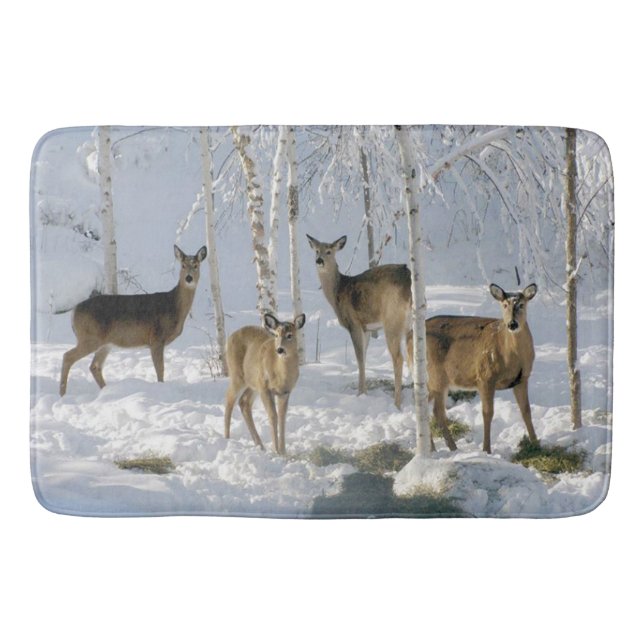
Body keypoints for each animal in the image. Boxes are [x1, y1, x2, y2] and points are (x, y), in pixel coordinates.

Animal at [59, 245, 208, 395]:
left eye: (196, 265)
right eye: (183, 265)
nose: (189, 278)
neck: (174, 306)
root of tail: (74, 311)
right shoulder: (156, 338)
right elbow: (160, 370)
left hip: (105, 343)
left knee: (94, 366)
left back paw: (106, 390)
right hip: (90, 337)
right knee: (67, 356)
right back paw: (62, 394)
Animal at [224, 313, 306, 455]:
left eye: (290, 335)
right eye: (276, 335)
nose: (280, 349)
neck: (281, 376)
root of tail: (230, 337)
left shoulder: (285, 392)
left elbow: (282, 417)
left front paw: (283, 452)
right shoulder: (265, 388)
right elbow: (273, 416)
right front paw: (276, 451)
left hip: (253, 383)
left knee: (244, 402)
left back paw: (260, 445)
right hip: (238, 376)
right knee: (229, 400)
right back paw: (227, 438)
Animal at [306, 234, 411, 409]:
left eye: (329, 251)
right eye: (316, 250)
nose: (319, 260)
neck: (337, 292)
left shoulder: (353, 323)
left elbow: (359, 358)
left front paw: (361, 394)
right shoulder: (366, 328)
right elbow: (364, 356)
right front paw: (363, 392)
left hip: (392, 319)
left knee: (398, 358)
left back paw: (397, 403)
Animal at [407, 283, 539, 454]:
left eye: (522, 305)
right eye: (504, 305)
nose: (512, 324)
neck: (513, 356)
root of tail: (409, 337)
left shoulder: (522, 378)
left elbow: (526, 411)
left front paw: (536, 444)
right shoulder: (485, 376)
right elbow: (487, 413)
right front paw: (486, 449)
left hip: (436, 381)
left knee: (430, 408)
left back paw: (441, 448)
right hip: (435, 376)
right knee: (432, 409)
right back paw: (446, 448)